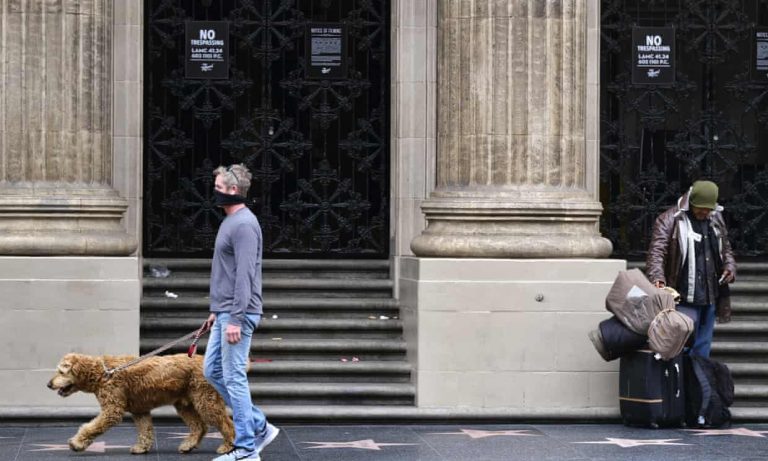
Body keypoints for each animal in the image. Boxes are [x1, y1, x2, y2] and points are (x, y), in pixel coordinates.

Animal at [47, 352, 234, 452]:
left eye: (61, 372)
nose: (48, 384)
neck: (102, 373)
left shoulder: (112, 410)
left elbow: (91, 427)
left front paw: (77, 443)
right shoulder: (140, 410)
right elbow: (145, 430)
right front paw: (142, 448)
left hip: (206, 401)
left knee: (227, 424)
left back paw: (229, 445)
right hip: (185, 405)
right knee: (199, 426)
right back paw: (189, 445)